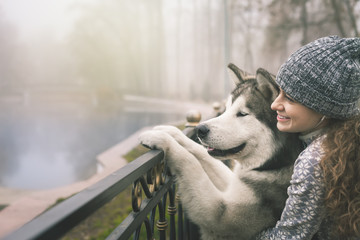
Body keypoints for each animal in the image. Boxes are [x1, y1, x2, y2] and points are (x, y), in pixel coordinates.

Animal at [139, 62, 302, 239]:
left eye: (242, 114)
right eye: (227, 109)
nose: (200, 130)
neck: (273, 164)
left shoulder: (221, 216)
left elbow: (190, 162)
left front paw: (161, 140)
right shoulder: (232, 184)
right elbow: (202, 153)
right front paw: (169, 131)